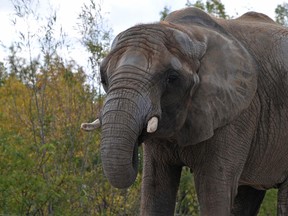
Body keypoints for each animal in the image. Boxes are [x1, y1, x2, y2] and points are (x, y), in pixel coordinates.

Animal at [81, 7, 288, 215]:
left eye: (172, 78)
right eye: (103, 79)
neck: (188, 32)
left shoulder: (239, 112)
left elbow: (213, 187)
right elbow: (155, 186)